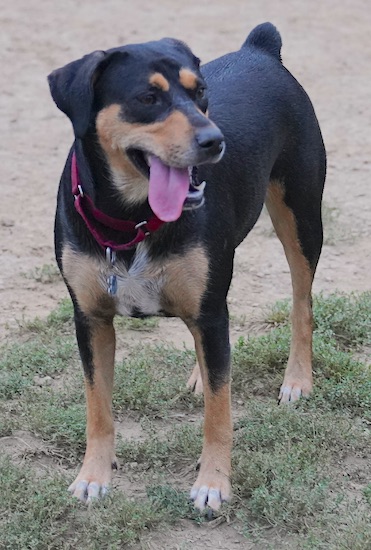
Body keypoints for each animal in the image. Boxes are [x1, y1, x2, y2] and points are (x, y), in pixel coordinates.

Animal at [48, 21, 326, 512]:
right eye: (147, 97)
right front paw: (92, 477)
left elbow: (219, 412)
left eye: (201, 94)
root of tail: (261, 48)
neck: (132, 218)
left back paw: (297, 380)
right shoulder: (91, 319)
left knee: (301, 303)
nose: (214, 141)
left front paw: (213, 484)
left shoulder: (211, 311)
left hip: (301, 216)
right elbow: (97, 407)